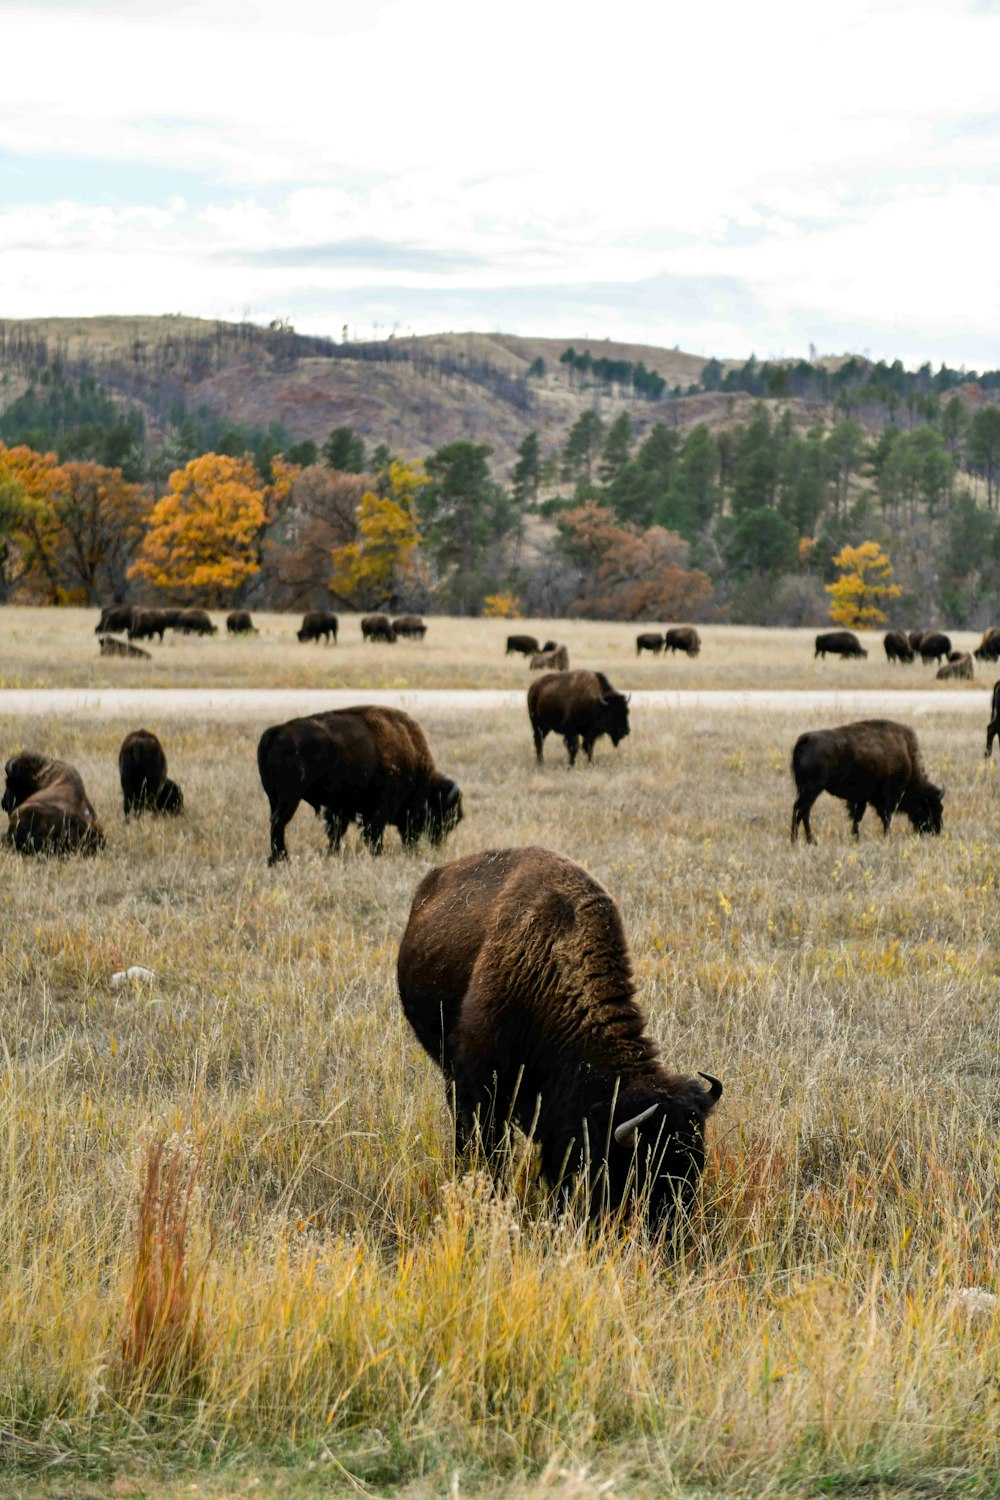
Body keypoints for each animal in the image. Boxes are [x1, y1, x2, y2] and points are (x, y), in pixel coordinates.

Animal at [256, 705, 464, 870]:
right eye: (442, 815)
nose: (435, 845)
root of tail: (275, 732)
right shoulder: (379, 808)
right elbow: (373, 832)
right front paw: (378, 854)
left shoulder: (340, 807)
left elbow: (336, 831)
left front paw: (333, 853)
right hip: (290, 798)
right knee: (279, 823)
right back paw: (282, 858)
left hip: (274, 798)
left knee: (275, 821)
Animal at [791, 714, 947, 846]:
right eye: (934, 808)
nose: (937, 830)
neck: (907, 757)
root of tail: (806, 739)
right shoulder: (886, 798)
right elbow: (886, 817)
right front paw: (887, 836)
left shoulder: (862, 799)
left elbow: (857, 818)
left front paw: (856, 838)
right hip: (812, 790)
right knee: (801, 810)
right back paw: (800, 840)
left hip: (806, 790)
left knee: (803, 811)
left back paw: (806, 841)